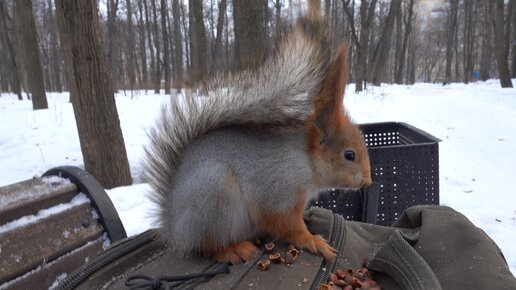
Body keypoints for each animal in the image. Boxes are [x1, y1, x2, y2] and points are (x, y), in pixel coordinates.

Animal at [142, 25, 370, 266]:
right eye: (349, 155)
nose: (368, 182)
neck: (305, 159)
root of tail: (174, 230)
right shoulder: (278, 194)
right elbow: (287, 224)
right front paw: (312, 240)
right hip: (216, 199)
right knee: (208, 247)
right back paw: (234, 250)